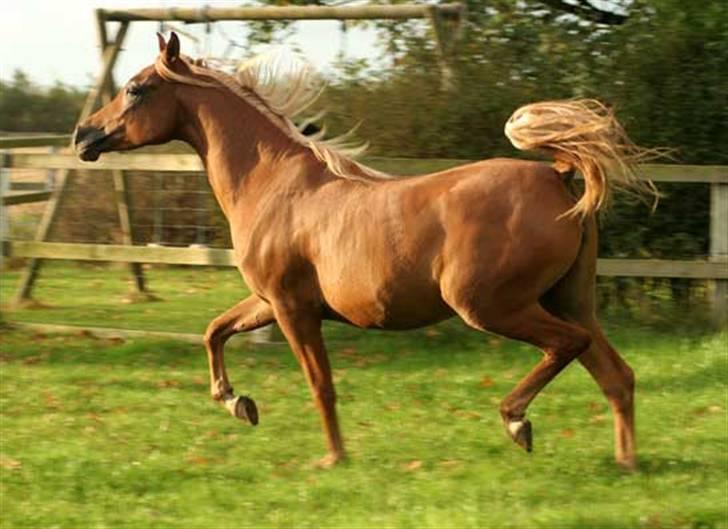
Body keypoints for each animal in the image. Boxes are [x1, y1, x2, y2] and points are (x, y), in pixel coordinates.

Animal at [77, 35, 652, 468]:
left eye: (136, 89)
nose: (84, 135)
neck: (273, 184)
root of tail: (558, 175)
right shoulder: (267, 302)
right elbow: (214, 330)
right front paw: (239, 403)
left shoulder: (292, 308)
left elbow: (320, 383)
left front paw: (332, 457)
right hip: (567, 299)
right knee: (616, 376)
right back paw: (626, 462)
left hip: (491, 306)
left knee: (569, 346)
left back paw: (516, 420)